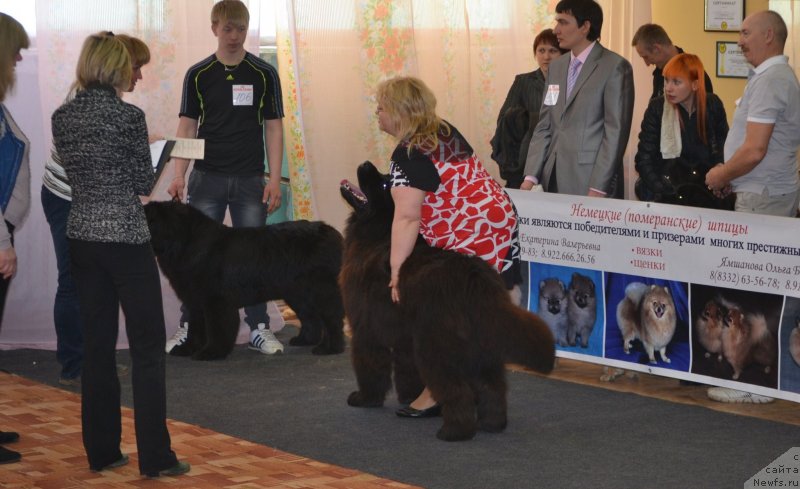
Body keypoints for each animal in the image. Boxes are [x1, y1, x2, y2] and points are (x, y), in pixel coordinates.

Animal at [144, 200, 344, 360]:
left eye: (148, 220)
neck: (187, 244)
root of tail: (331, 232)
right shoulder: (195, 301)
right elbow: (195, 328)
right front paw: (186, 349)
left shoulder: (216, 301)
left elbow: (217, 329)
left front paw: (211, 352)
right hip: (297, 292)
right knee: (311, 316)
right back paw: (305, 340)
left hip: (318, 289)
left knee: (332, 318)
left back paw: (330, 348)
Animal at [340, 162, 556, 440]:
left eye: (386, 182)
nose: (366, 164)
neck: (379, 233)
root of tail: (474, 279)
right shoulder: (405, 339)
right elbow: (406, 369)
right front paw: (409, 396)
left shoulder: (365, 328)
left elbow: (369, 365)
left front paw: (365, 398)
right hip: (479, 347)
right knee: (492, 385)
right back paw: (492, 423)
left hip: (438, 347)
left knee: (458, 389)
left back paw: (454, 431)